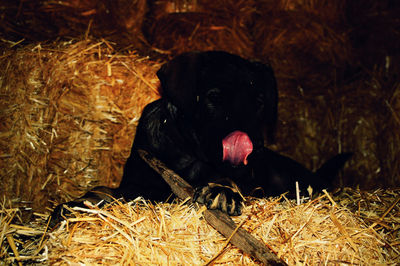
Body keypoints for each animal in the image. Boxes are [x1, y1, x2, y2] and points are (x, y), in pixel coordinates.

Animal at [50, 51, 350, 225]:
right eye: (214, 97)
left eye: (259, 102)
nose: (254, 148)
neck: (187, 154)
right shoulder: (137, 181)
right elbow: (108, 190)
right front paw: (72, 205)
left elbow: (223, 178)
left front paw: (220, 190)